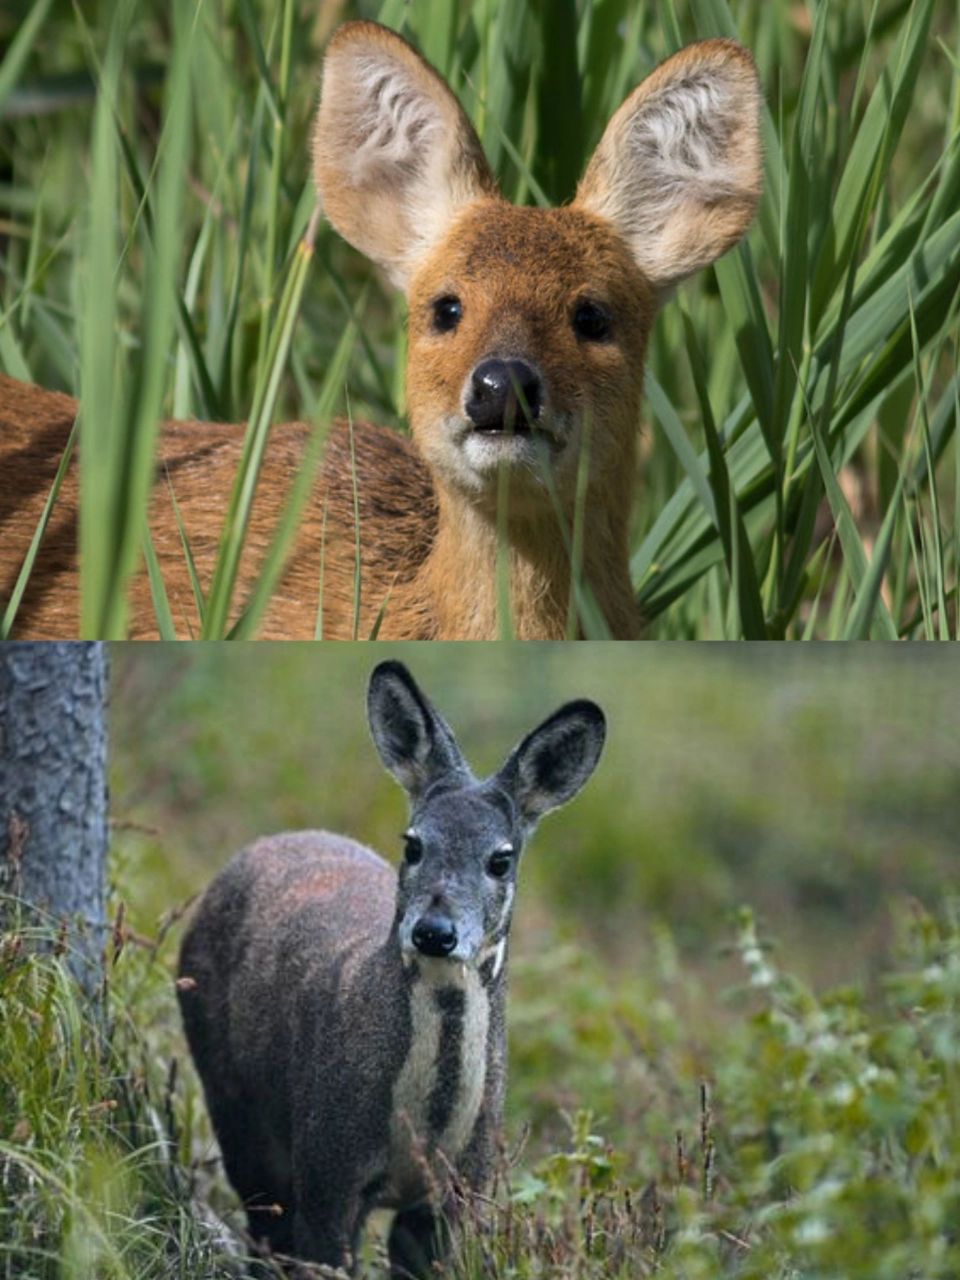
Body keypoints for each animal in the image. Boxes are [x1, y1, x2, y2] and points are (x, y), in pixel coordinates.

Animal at [176, 665, 604, 1274]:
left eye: (501, 859)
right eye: (413, 844)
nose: (434, 931)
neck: (422, 1130)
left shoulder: (462, 1189)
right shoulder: (327, 1168)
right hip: (231, 1097)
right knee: (263, 1225)